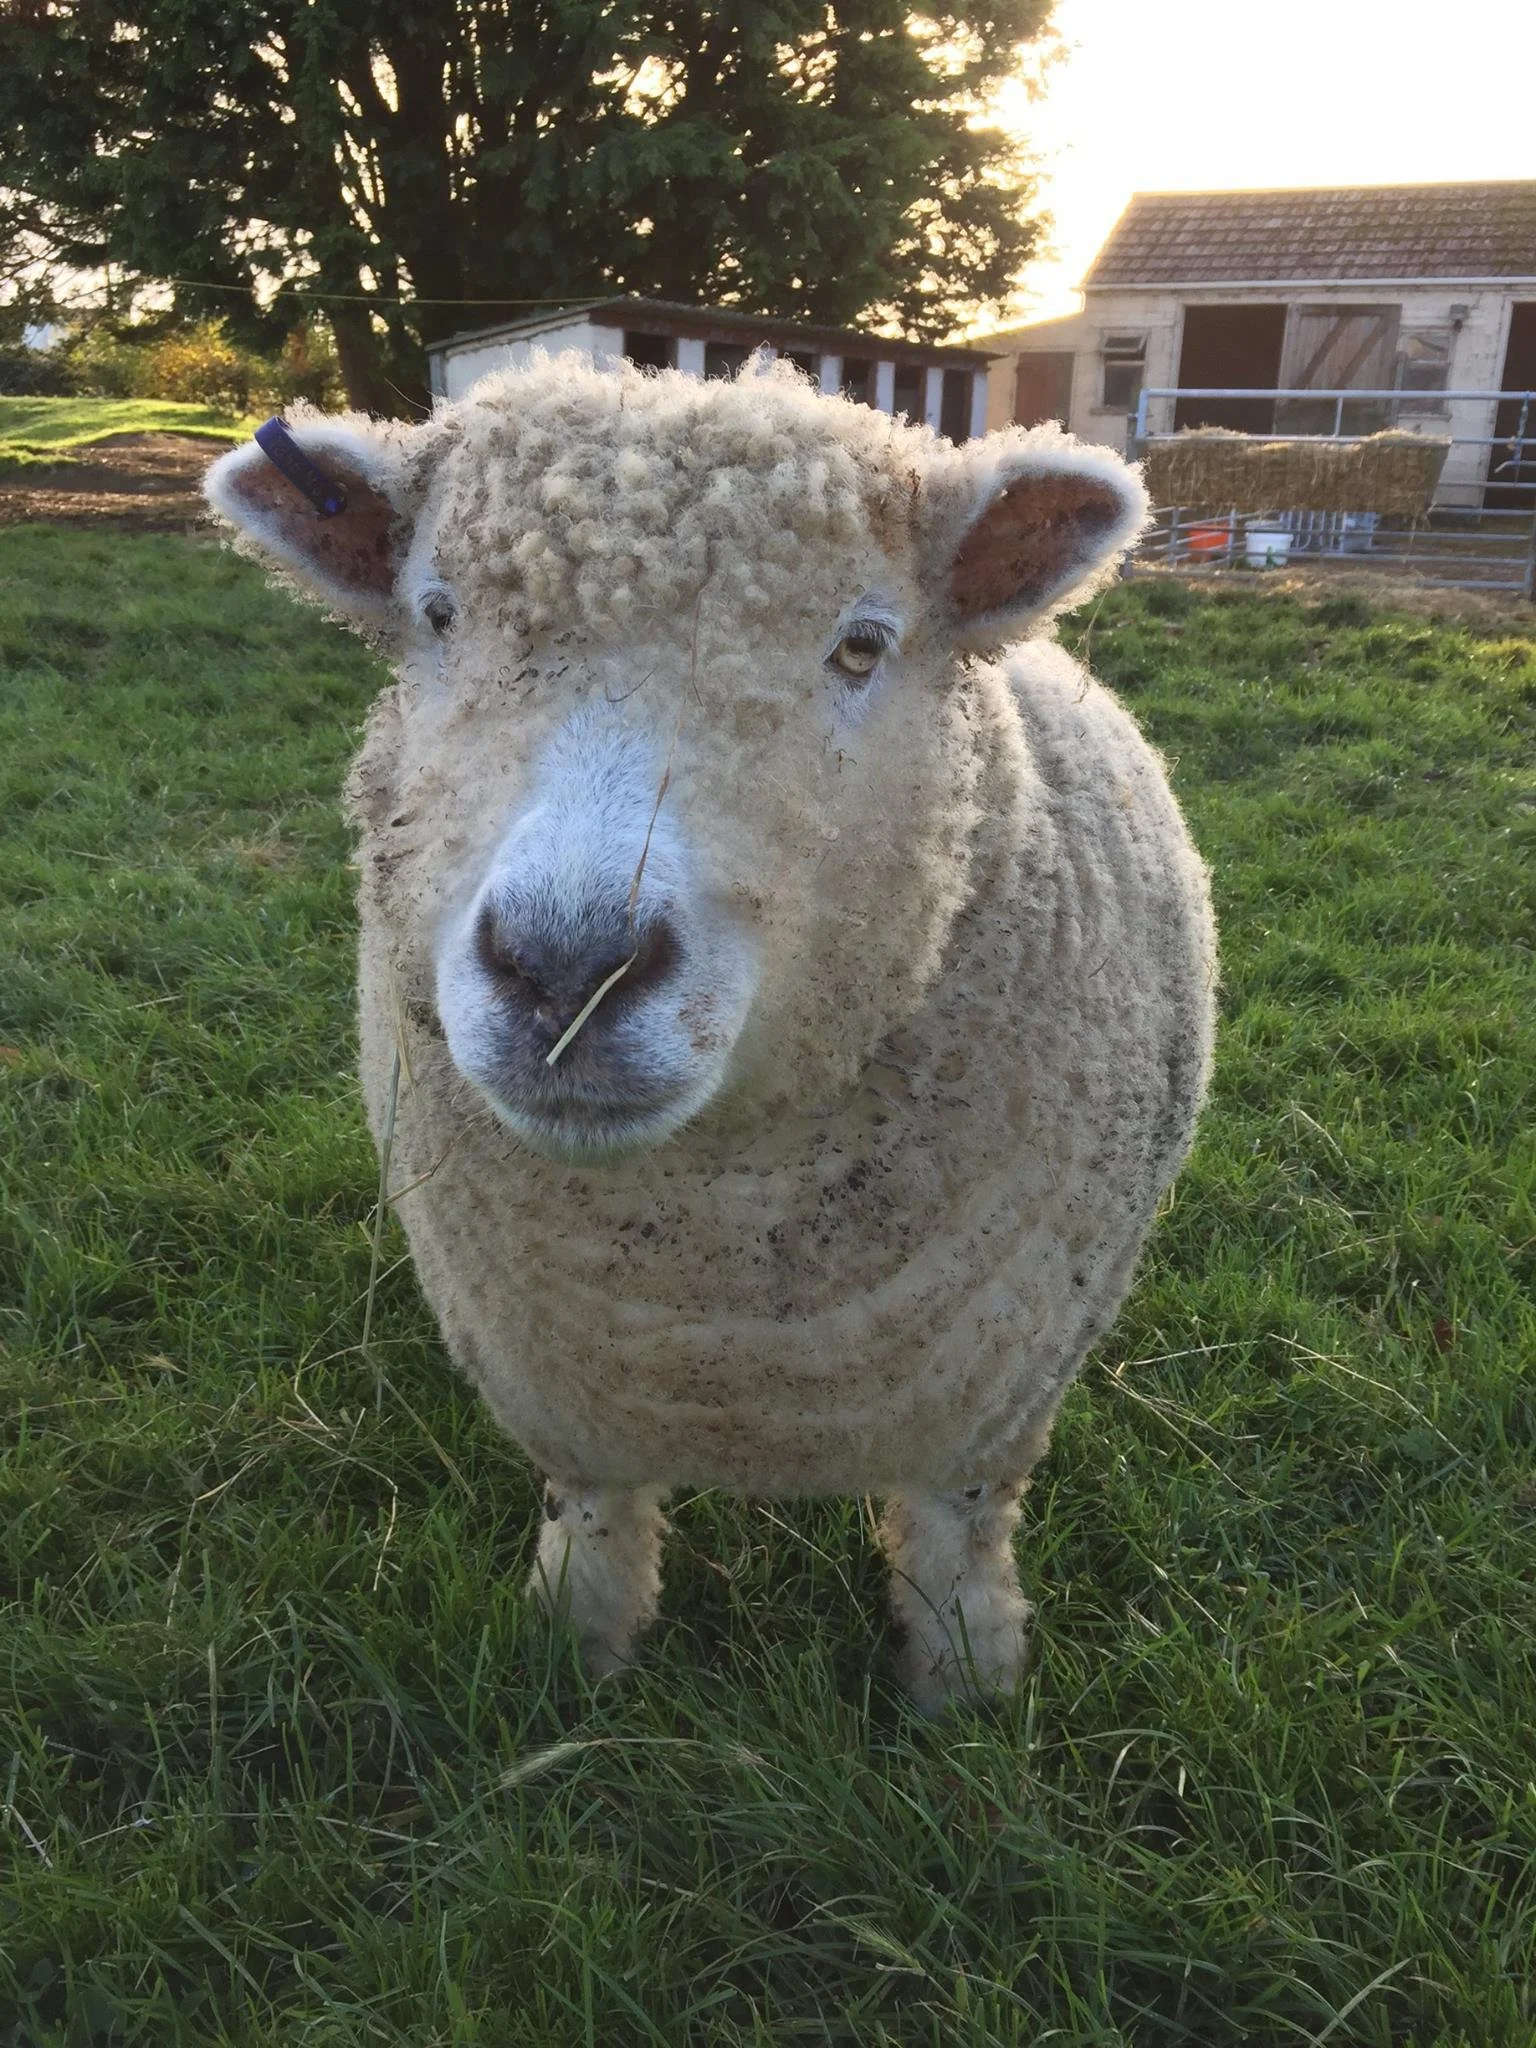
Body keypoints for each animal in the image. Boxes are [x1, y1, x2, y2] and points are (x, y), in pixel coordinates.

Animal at [205, 355, 1216, 1710]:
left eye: (861, 643)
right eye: (438, 615)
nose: (566, 967)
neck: (726, 1282)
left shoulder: (986, 1402)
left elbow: (954, 1544)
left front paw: (963, 1697)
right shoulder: (568, 1392)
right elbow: (596, 1523)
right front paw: (576, 1654)